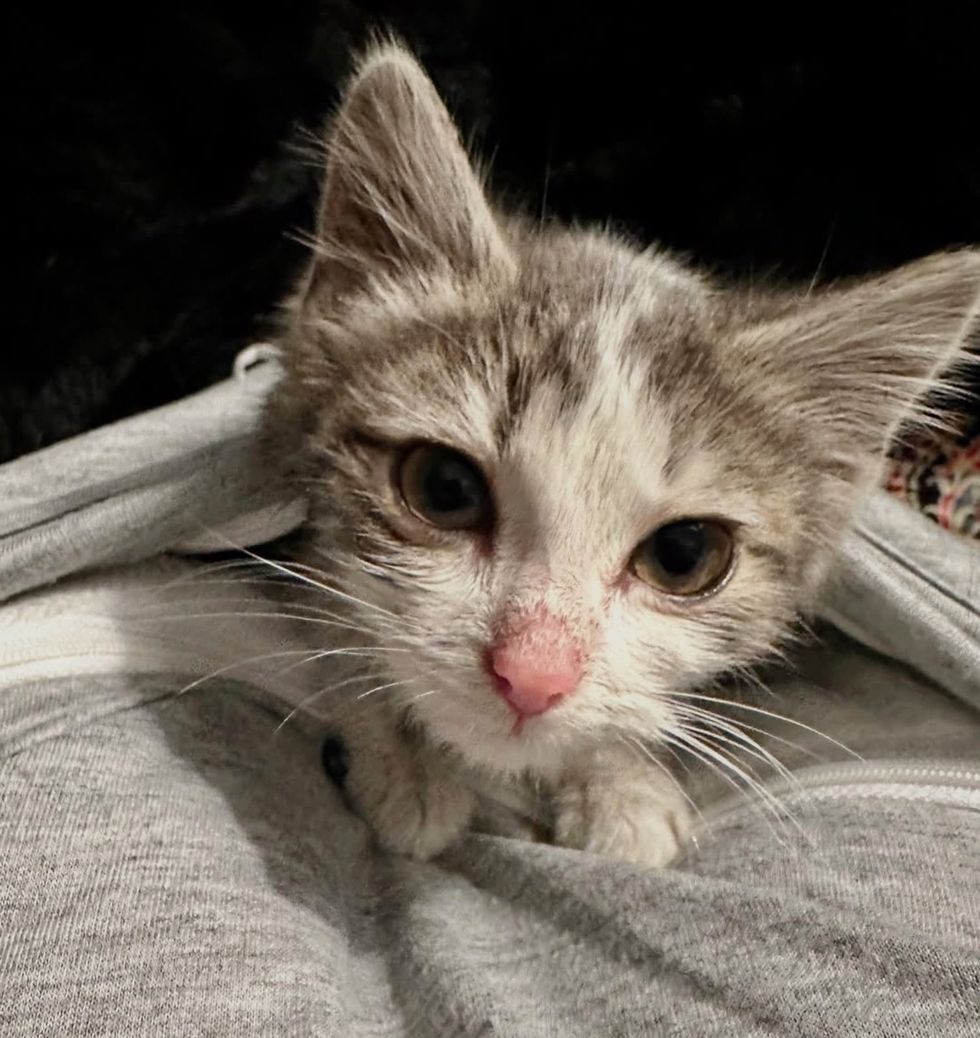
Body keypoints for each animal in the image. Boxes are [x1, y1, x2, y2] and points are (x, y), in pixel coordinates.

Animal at [262, 42, 980, 867]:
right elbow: (326, 607)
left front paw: (619, 777)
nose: (533, 676)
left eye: (683, 554)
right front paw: (399, 754)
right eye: (444, 488)